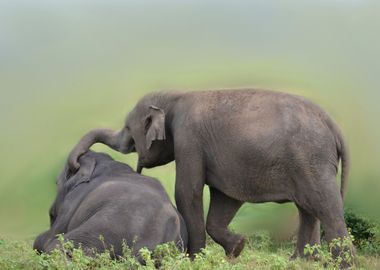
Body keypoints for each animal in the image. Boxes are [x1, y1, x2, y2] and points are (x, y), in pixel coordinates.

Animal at [67, 90, 352, 262]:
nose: (76, 164)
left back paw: (341, 263)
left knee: (325, 206)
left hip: (311, 159)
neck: (174, 97)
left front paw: (193, 259)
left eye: (128, 129)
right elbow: (224, 199)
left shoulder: (188, 139)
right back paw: (302, 261)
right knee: (308, 208)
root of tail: (335, 127)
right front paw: (237, 248)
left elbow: (187, 192)